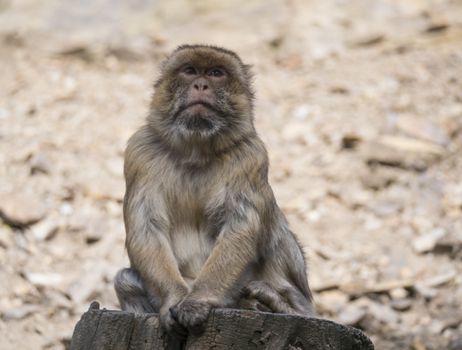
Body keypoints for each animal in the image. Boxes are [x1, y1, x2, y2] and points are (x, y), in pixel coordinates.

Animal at [114, 44, 316, 336]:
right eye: (189, 70)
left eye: (216, 73)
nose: (201, 84)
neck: (196, 149)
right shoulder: (139, 153)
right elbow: (146, 228)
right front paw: (175, 299)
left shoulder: (251, 155)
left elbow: (240, 227)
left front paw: (197, 301)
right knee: (124, 279)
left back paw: (283, 305)